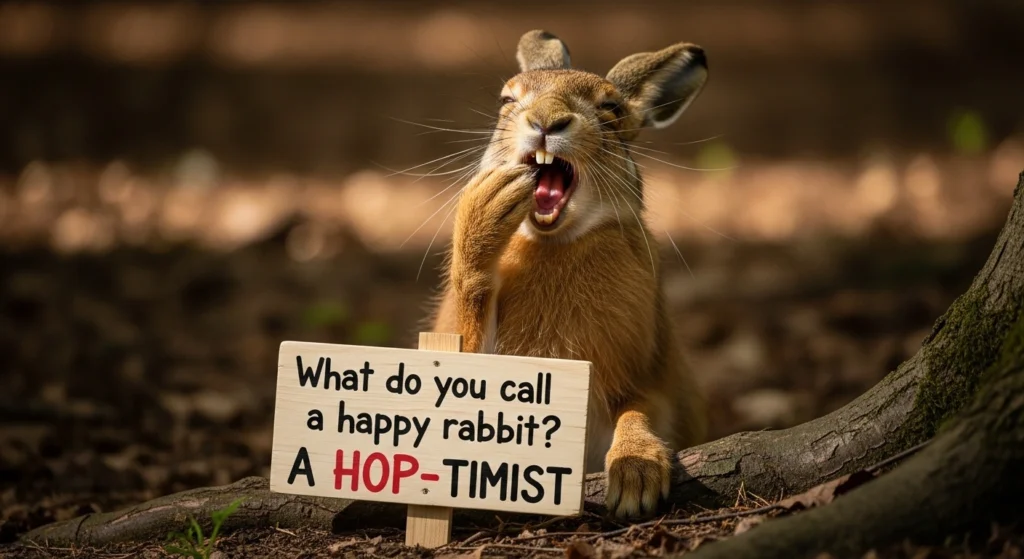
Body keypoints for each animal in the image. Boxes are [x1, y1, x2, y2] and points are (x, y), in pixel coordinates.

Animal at [428, 29, 709, 519]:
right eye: (507, 100)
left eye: (611, 108)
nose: (545, 122)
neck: (554, 241)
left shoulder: (644, 374)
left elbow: (637, 412)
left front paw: (636, 475)